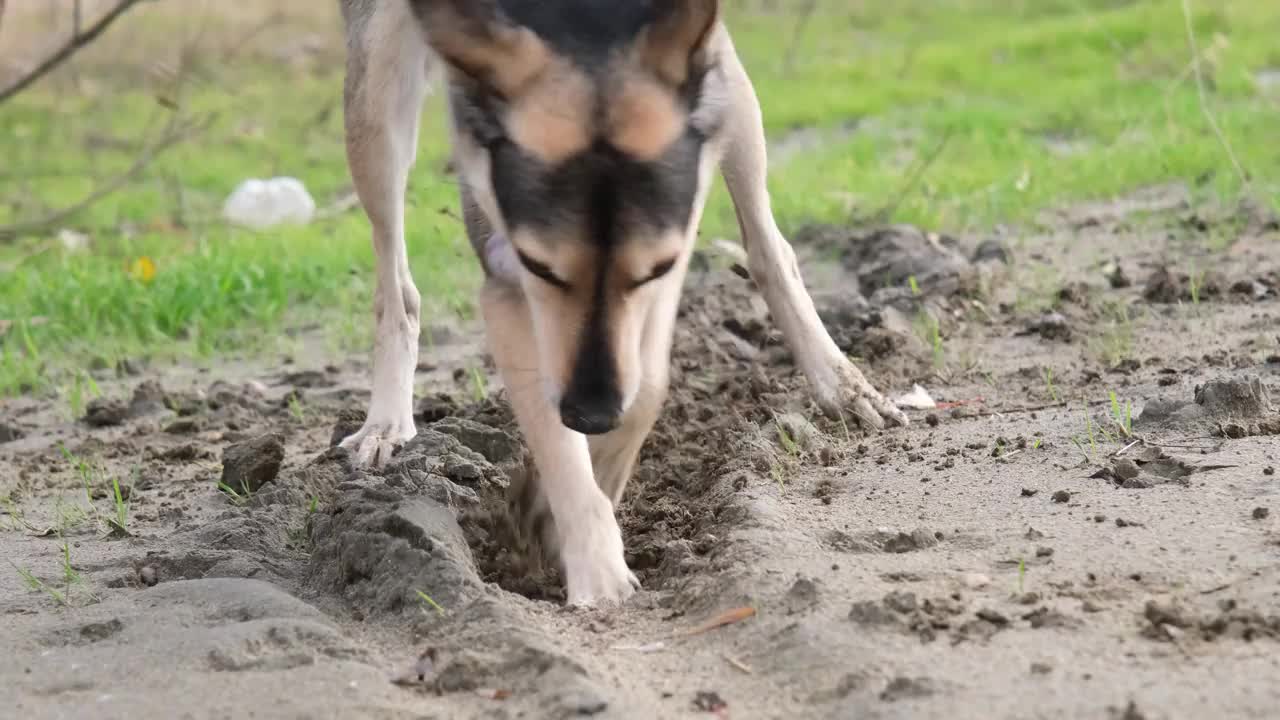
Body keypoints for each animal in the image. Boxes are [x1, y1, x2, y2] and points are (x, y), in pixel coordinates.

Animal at [335, 0, 906, 604]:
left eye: (654, 267)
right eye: (540, 267)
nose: (590, 414)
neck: (586, 25)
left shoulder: (680, 208)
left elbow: (650, 382)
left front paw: (583, 486)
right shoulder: (508, 274)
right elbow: (559, 438)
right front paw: (595, 569)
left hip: (730, 95)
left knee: (769, 245)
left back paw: (841, 383)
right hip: (377, 87)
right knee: (396, 284)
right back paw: (387, 424)